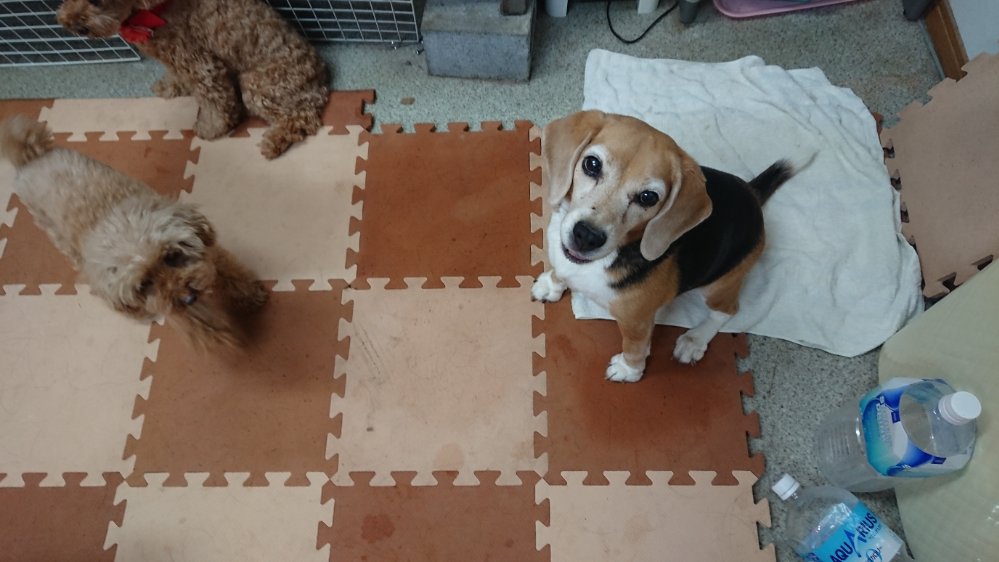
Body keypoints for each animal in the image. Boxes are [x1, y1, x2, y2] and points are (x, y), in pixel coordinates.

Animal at [0, 115, 268, 348]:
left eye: (172, 256)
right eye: (143, 285)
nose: (188, 297)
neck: (110, 216)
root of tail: (30, 158)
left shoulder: (207, 248)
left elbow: (230, 271)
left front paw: (250, 295)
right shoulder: (165, 302)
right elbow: (193, 320)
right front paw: (217, 335)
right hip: (51, 227)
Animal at [56, 0, 328, 159]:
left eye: (97, 1)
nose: (74, 25)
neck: (145, 12)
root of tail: (321, 74)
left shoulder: (200, 63)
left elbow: (215, 103)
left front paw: (209, 128)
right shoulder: (172, 58)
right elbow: (177, 76)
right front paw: (169, 86)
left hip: (257, 85)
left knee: (302, 118)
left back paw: (273, 142)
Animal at [532, 111, 796, 383]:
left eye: (648, 197)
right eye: (592, 164)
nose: (586, 236)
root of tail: (752, 193)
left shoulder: (636, 321)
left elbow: (635, 347)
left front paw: (629, 370)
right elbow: (559, 271)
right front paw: (551, 285)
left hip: (718, 285)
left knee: (726, 311)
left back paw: (694, 340)